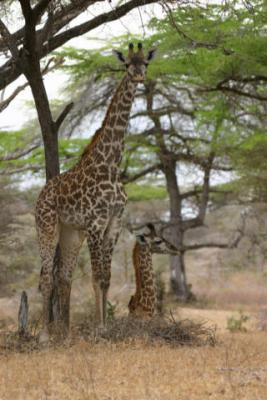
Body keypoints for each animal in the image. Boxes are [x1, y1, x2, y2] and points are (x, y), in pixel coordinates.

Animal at [35, 42, 157, 340]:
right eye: (127, 64)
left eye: (145, 63)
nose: (139, 77)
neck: (112, 165)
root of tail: (40, 195)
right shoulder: (95, 224)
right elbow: (95, 276)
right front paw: (99, 328)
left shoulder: (113, 224)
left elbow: (106, 278)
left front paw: (106, 327)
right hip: (47, 227)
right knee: (46, 276)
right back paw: (44, 334)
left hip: (71, 233)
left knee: (63, 276)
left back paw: (65, 333)